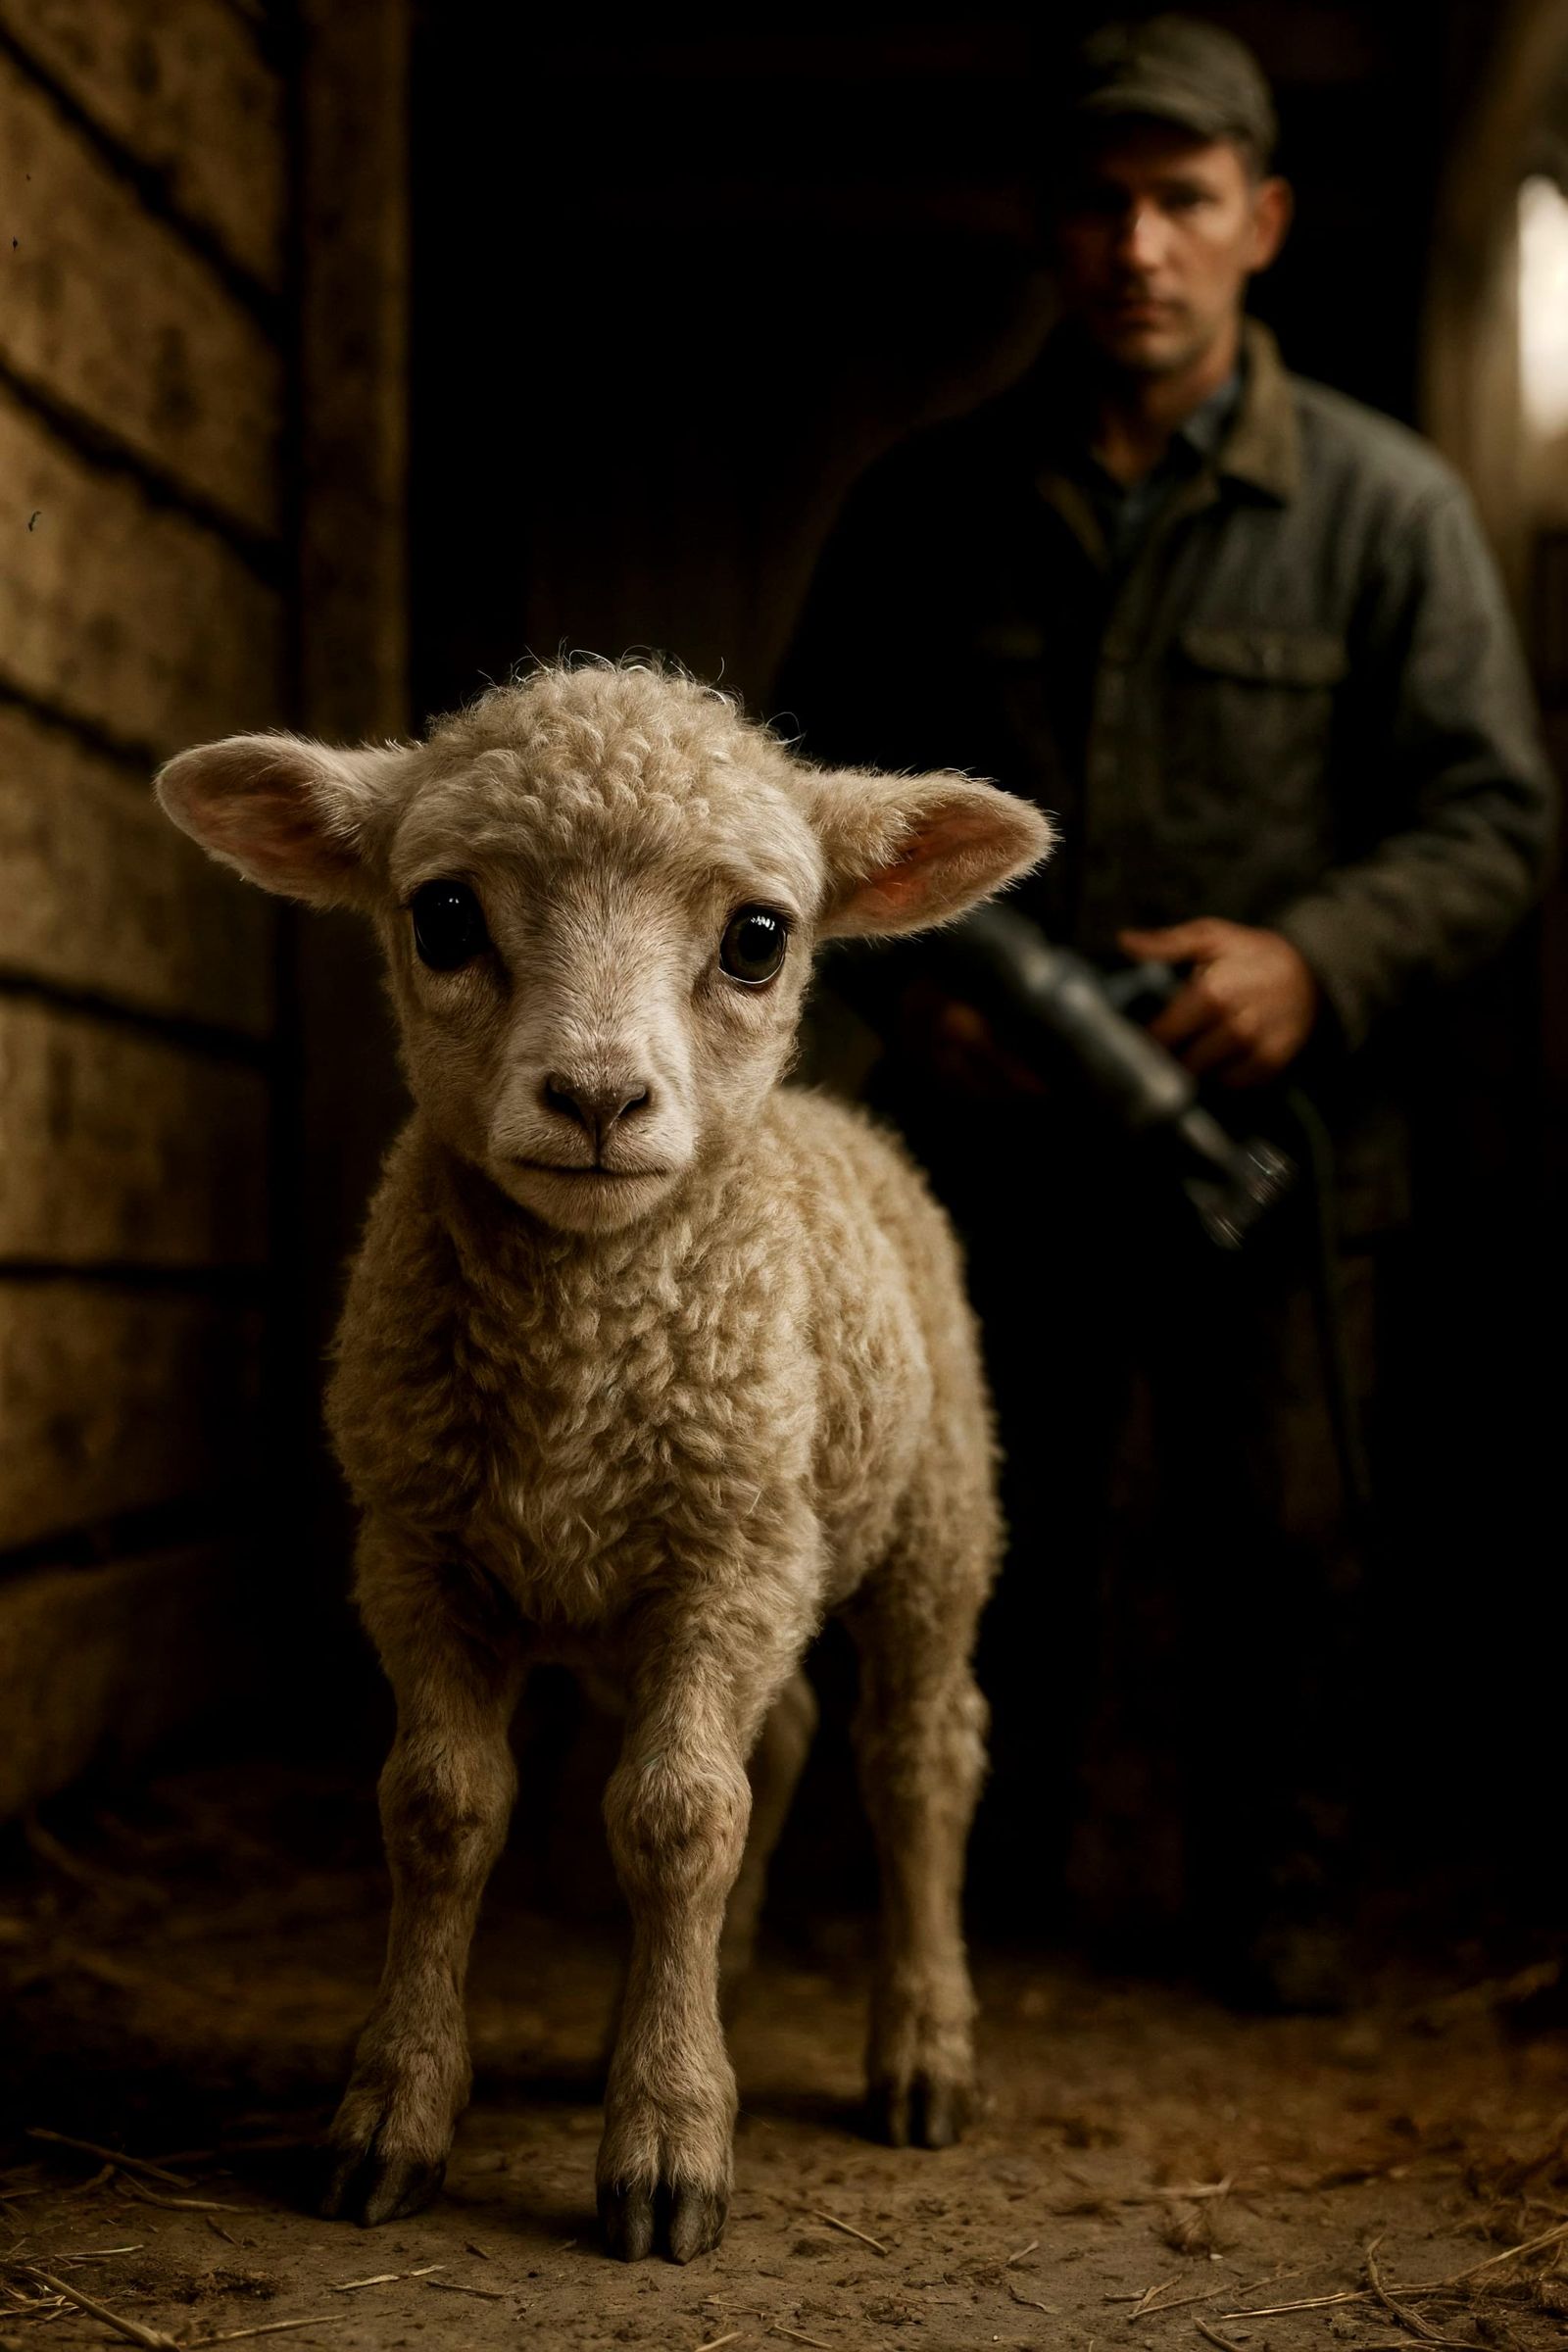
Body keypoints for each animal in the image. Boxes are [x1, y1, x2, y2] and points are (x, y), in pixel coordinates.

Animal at [155, 661, 1053, 2265]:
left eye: (759, 938)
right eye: (444, 915)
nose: (593, 1100)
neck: (585, 1337)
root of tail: (839, 1116)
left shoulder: (733, 1552)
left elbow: (676, 1817)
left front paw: (669, 2142)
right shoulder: (419, 1551)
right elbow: (444, 1810)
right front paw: (393, 2116)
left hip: (930, 1518)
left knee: (914, 1757)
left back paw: (921, 2048)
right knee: (780, 1738)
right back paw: (701, 1991)